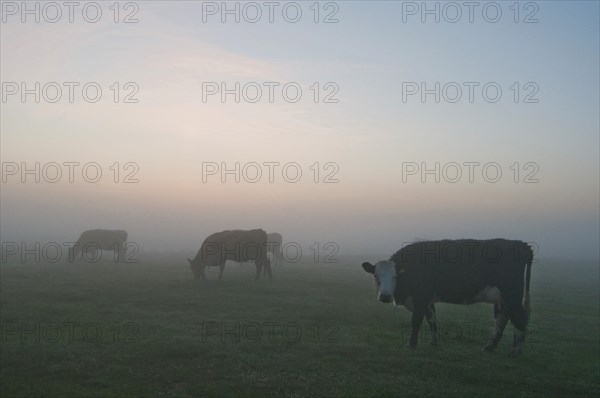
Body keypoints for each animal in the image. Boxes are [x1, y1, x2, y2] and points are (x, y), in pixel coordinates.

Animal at [360, 238, 536, 356]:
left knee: (519, 319)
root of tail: (521, 244)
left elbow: (416, 321)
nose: (385, 296)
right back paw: (490, 347)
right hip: (503, 299)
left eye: (395, 277)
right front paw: (433, 341)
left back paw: (517, 350)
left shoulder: (420, 298)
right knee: (502, 319)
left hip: (512, 294)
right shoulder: (427, 300)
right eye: (376, 276)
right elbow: (431, 319)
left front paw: (411, 344)